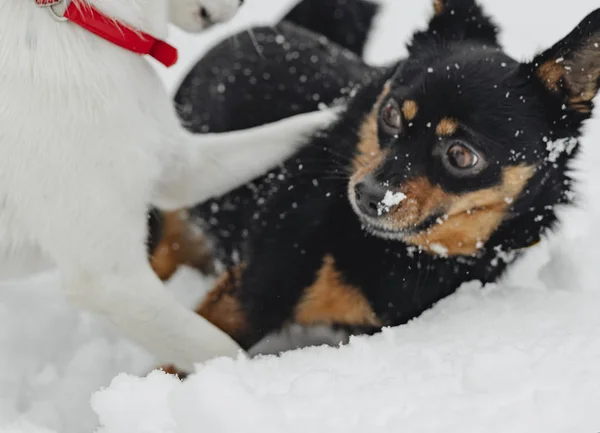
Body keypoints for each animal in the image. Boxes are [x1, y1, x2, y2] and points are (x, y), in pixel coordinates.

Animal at [0, 0, 336, 372]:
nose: (243, 4)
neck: (84, 19)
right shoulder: (111, 280)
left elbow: (285, 132)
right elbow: (218, 347)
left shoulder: (179, 168)